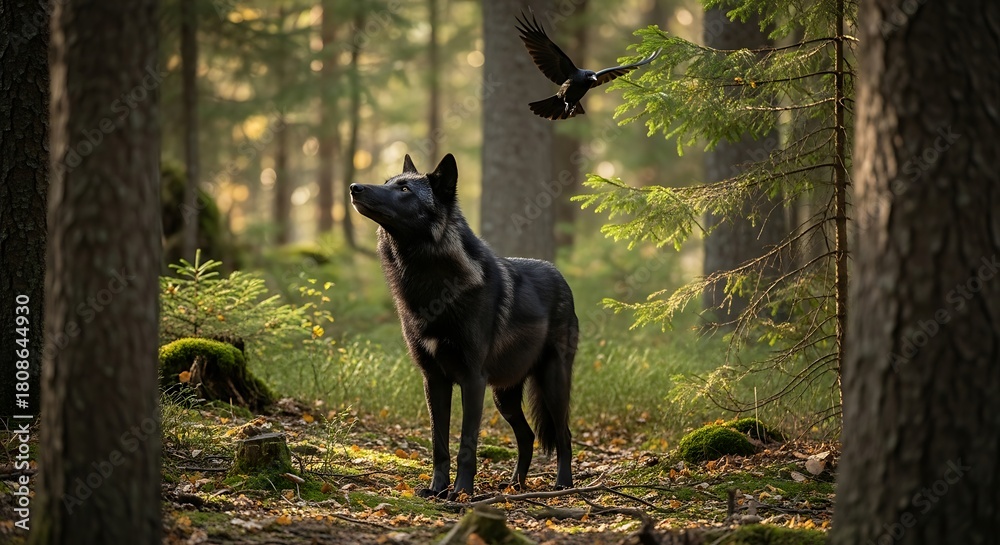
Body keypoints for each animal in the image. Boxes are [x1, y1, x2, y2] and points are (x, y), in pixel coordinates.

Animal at [350, 154, 578, 499]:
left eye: (404, 189)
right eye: (387, 182)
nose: (354, 187)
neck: (429, 280)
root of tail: (560, 276)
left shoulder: (473, 380)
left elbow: (466, 444)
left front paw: (461, 492)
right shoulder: (434, 380)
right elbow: (439, 443)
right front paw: (436, 489)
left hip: (552, 384)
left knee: (564, 434)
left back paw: (563, 484)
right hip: (504, 397)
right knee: (527, 436)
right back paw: (515, 485)